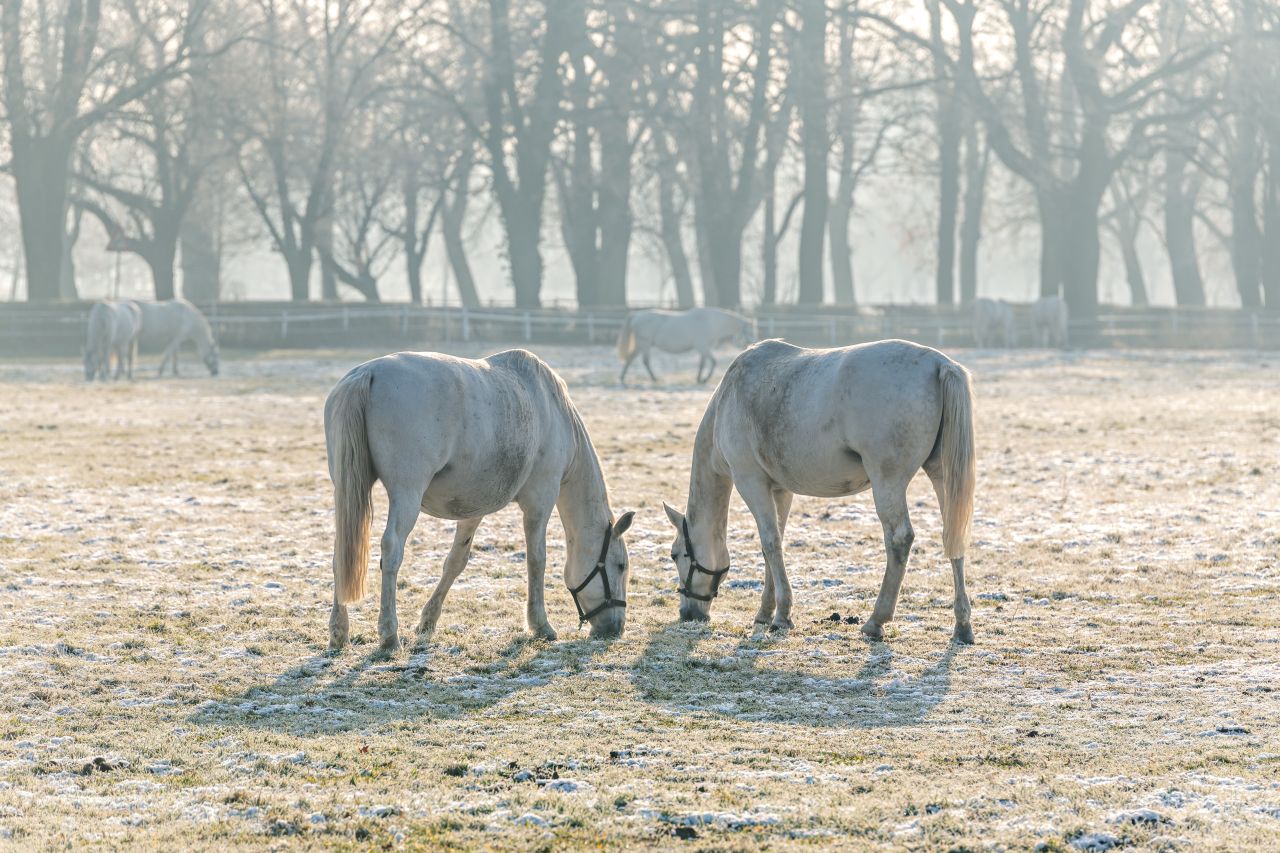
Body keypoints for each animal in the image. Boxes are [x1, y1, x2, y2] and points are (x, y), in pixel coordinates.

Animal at [325, 343, 634, 650]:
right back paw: (389, 636)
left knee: (341, 553)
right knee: (391, 551)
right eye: (620, 566)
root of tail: (368, 372)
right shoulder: (539, 502)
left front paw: (428, 621)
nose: (615, 628)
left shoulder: (473, 509)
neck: (554, 410)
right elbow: (537, 560)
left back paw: (339, 631)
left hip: (346, 493)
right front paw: (541, 625)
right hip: (406, 495)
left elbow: (455, 562)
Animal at [616, 307, 752, 384]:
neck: (710, 321)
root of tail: (637, 315)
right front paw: (704, 379)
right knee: (645, 361)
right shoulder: (702, 347)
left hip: (641, 345)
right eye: (749, 331)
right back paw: (654, 379)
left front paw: (699, 379)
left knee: (630, 359)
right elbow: (713, 362)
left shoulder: (703, 349)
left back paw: (622, 378)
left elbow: (702, 364)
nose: (751, 345)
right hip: (645, 344)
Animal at [665, 335, 972, 640]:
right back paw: (962, 625)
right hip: (942, 476)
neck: (728, 399)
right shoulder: (780, 490)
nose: (687, 613)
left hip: (888, 482)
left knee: (899, 539)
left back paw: (876, 621)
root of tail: (939, 363)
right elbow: (774, 544)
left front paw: (782, 616)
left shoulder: (750, 482)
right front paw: (766, 612)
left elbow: (770, 543)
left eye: (676, 554)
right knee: (953, 535)